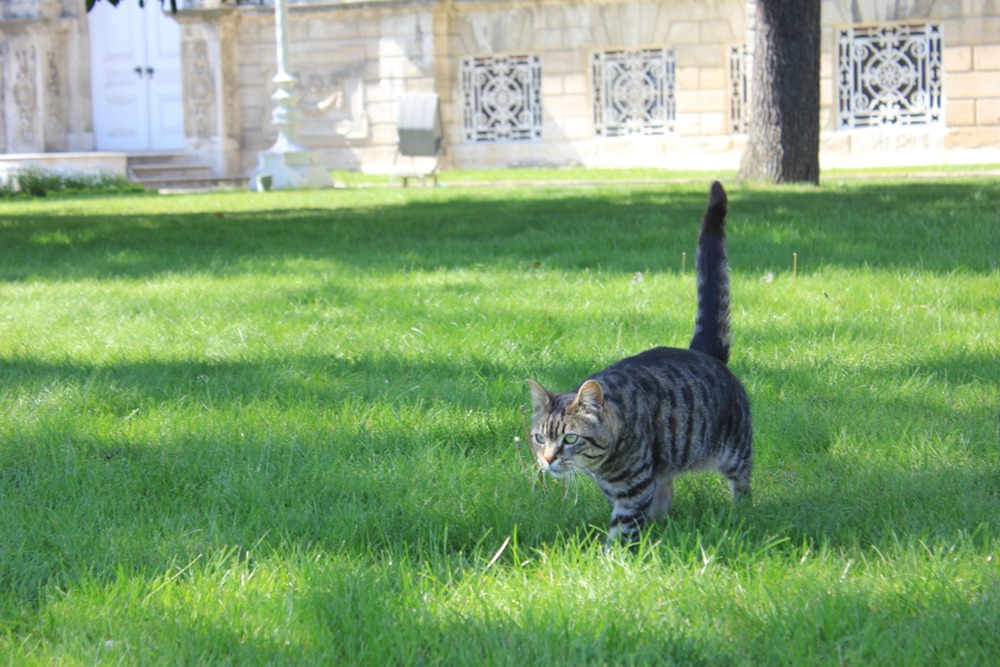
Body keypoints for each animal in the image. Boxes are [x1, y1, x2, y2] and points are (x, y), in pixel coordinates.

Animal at [532, 180, 752, 544]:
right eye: (539, 438)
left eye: (571, 439)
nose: (548, 460)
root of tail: (704, 352)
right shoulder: (624, 489)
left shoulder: (632, 490)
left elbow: (622, 531)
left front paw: (612, 556)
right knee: (667, 492)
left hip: (736, 449)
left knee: (742, 483)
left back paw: (741, 514)